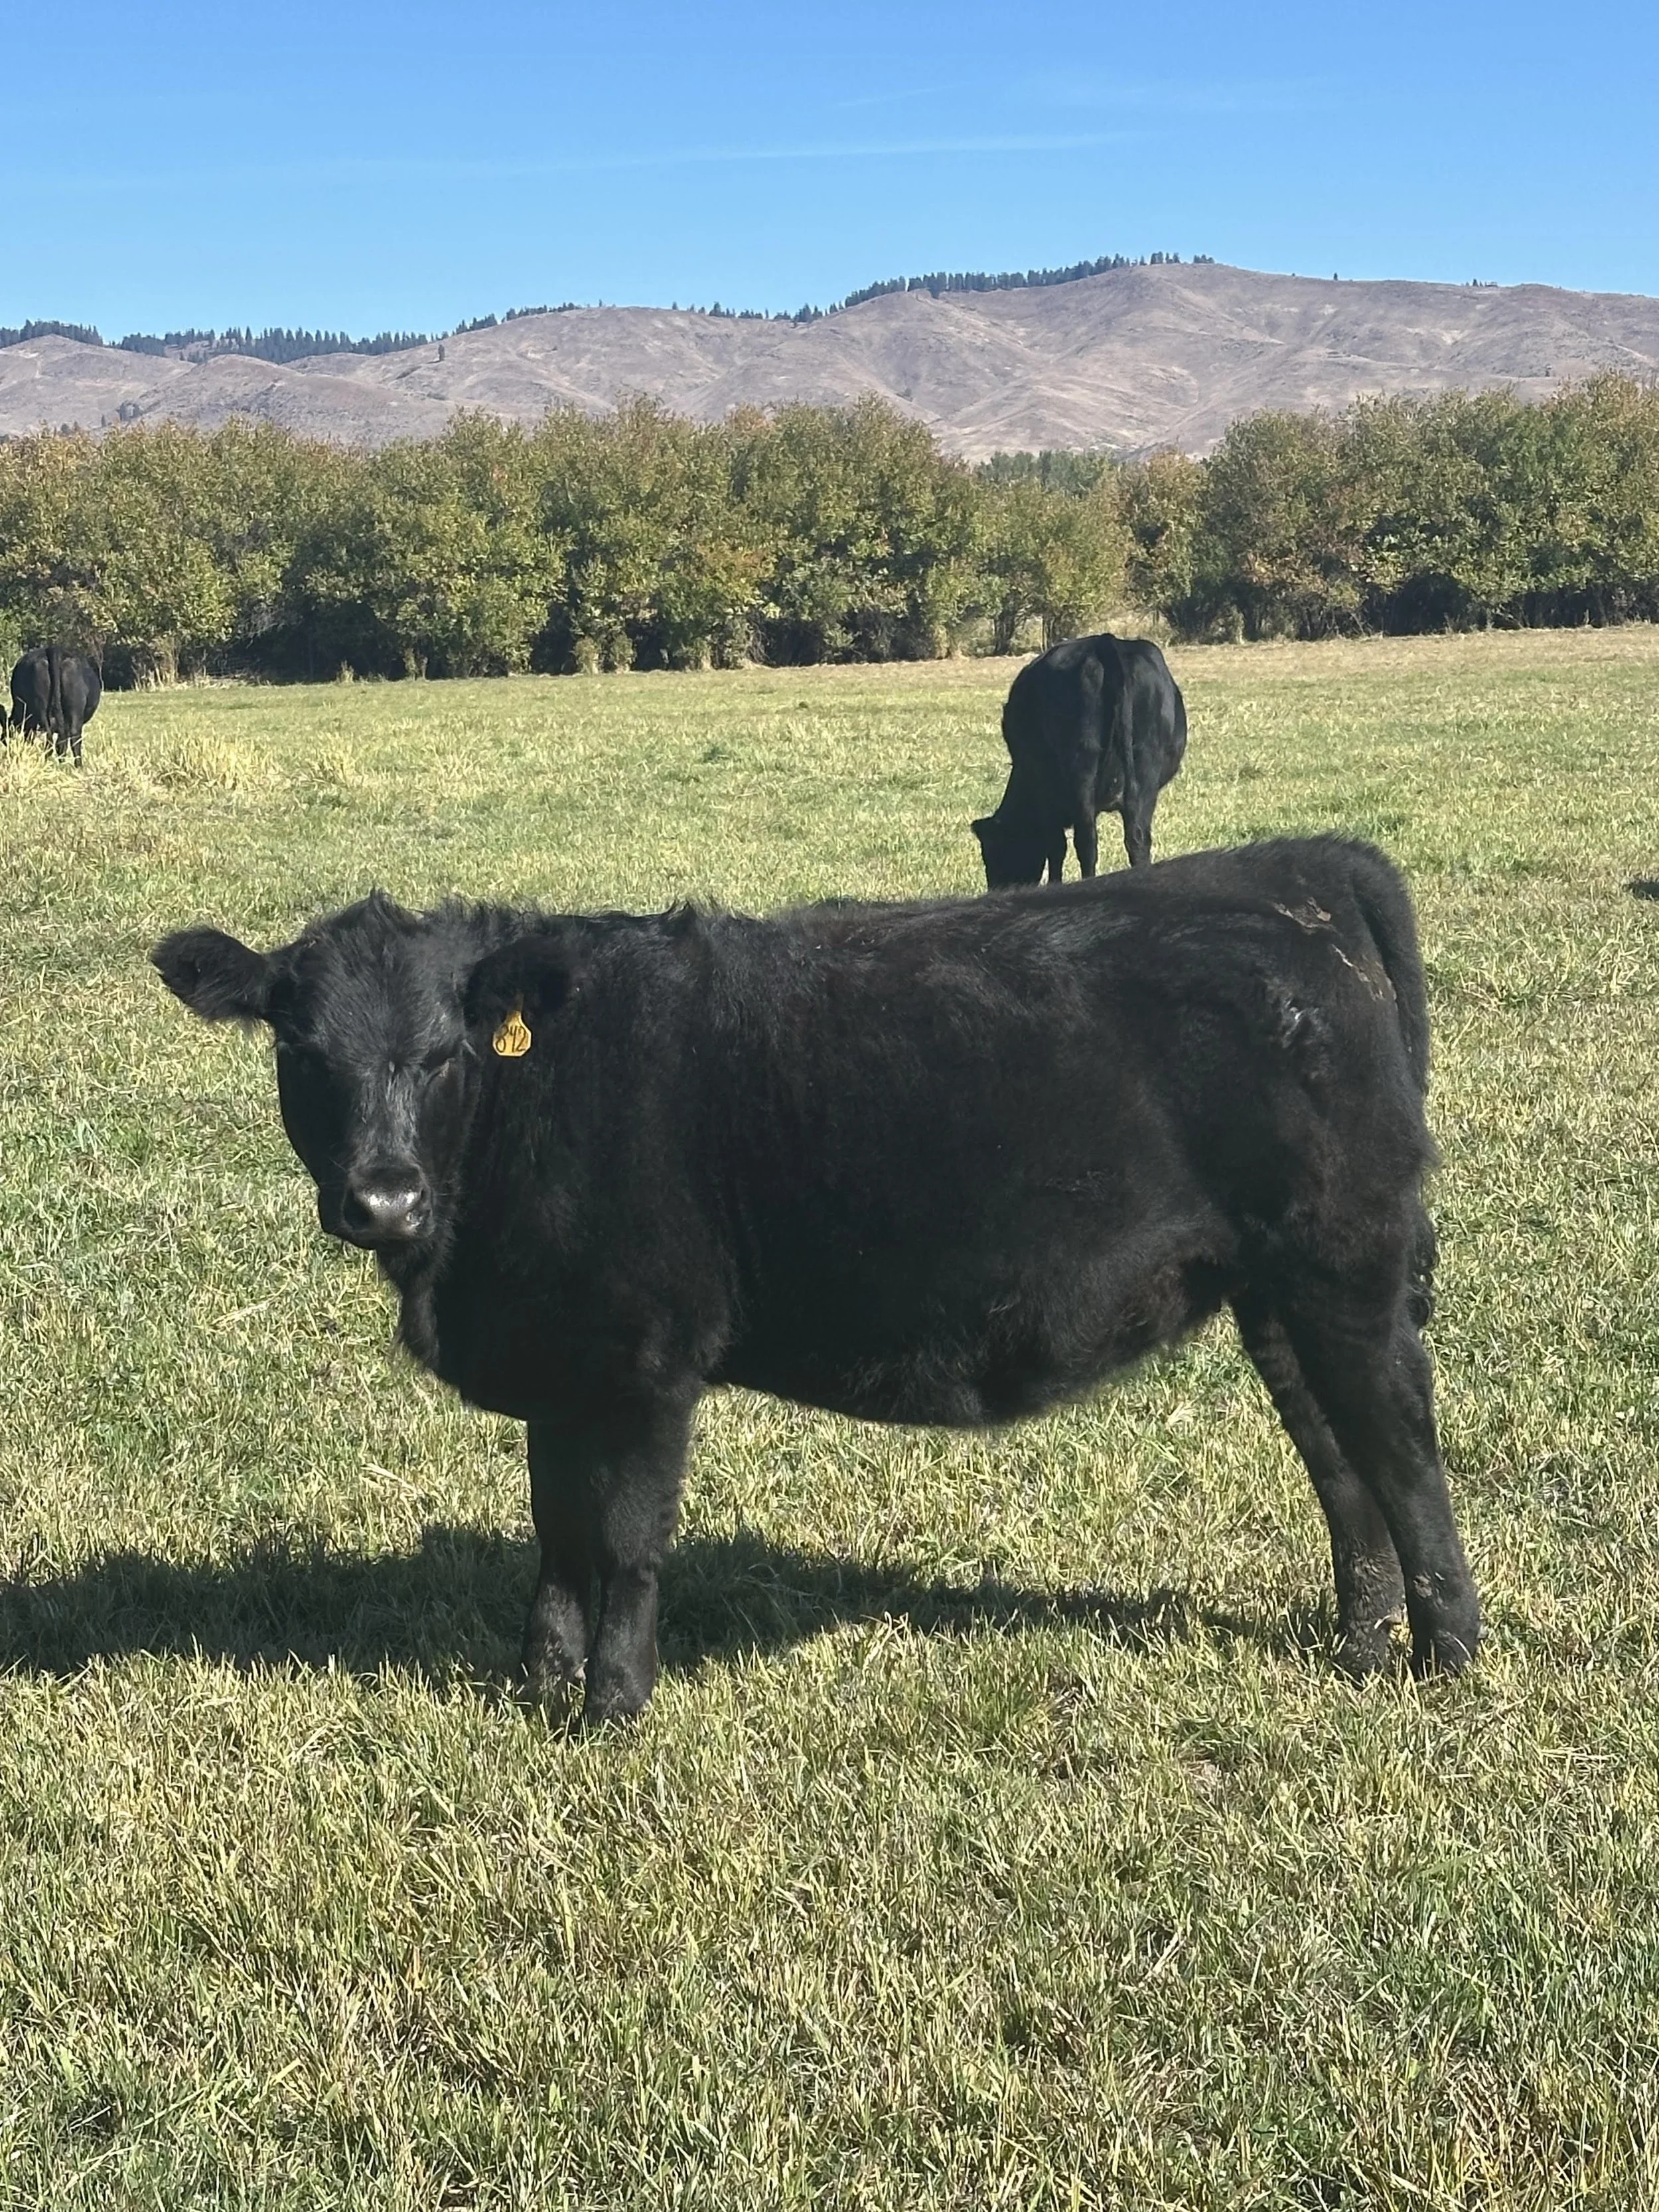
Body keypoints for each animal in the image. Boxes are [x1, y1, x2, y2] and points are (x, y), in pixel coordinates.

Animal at [152, 836, 1479, 1726]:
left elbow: (626, 1539)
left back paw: (1449, 1659)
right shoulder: (563, 1360)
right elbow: (557, 1533)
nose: (383, 1197)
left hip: (1349, 1267)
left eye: (439, 1053)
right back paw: (1366, 1647)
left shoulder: (646, 1362)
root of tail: (1294, 866)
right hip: (1277, 1292)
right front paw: (537, 1684)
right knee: (1340, 1465)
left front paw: (612, 1707)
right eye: (300, 1049)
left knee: (1405, 1454)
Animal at [973, 633, 1187, 886]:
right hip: (1144, 770)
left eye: (994, 854)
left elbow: (1056, 846)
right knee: (1137, 838)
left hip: (1082, 768)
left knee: (1086, 843)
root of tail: (1105, 641)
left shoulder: (1044, 789)